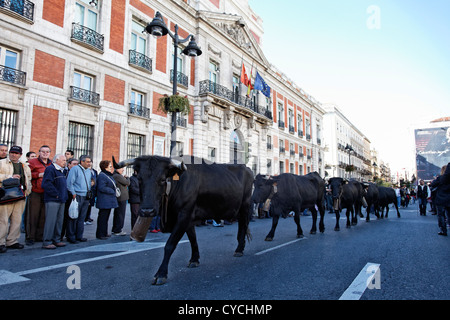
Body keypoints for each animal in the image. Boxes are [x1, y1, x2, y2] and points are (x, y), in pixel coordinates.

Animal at [112, 155, 253, 284]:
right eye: (139, 179)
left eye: (162, 179)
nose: (147, 211)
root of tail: (247, 168)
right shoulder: (188, 218)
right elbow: (192, 239)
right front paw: (194, 259)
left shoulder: (184, 214)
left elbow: (170, 244)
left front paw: (161, 273)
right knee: (242, 225)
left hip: (245, 206)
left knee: (243, 224)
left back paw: (239, 249)